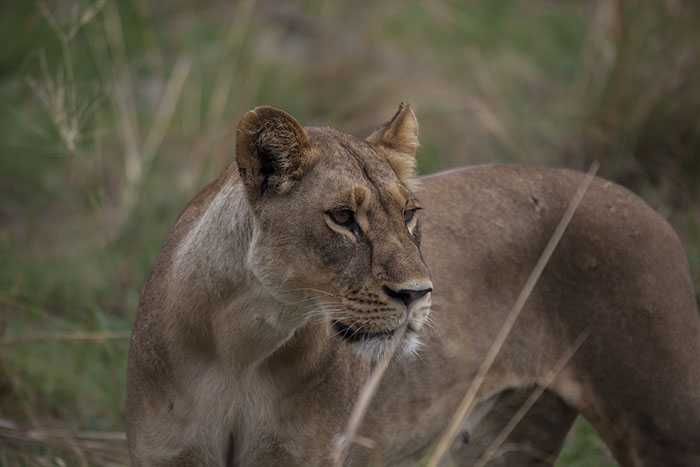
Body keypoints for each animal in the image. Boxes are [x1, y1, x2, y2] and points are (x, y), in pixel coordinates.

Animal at [126, 104, 700, 466]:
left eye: (409, 213)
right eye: (342, 218)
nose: (417, 294)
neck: (242, 340)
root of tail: (645, 206)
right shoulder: (167, 453)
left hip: (667, 419)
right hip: (509, 434)